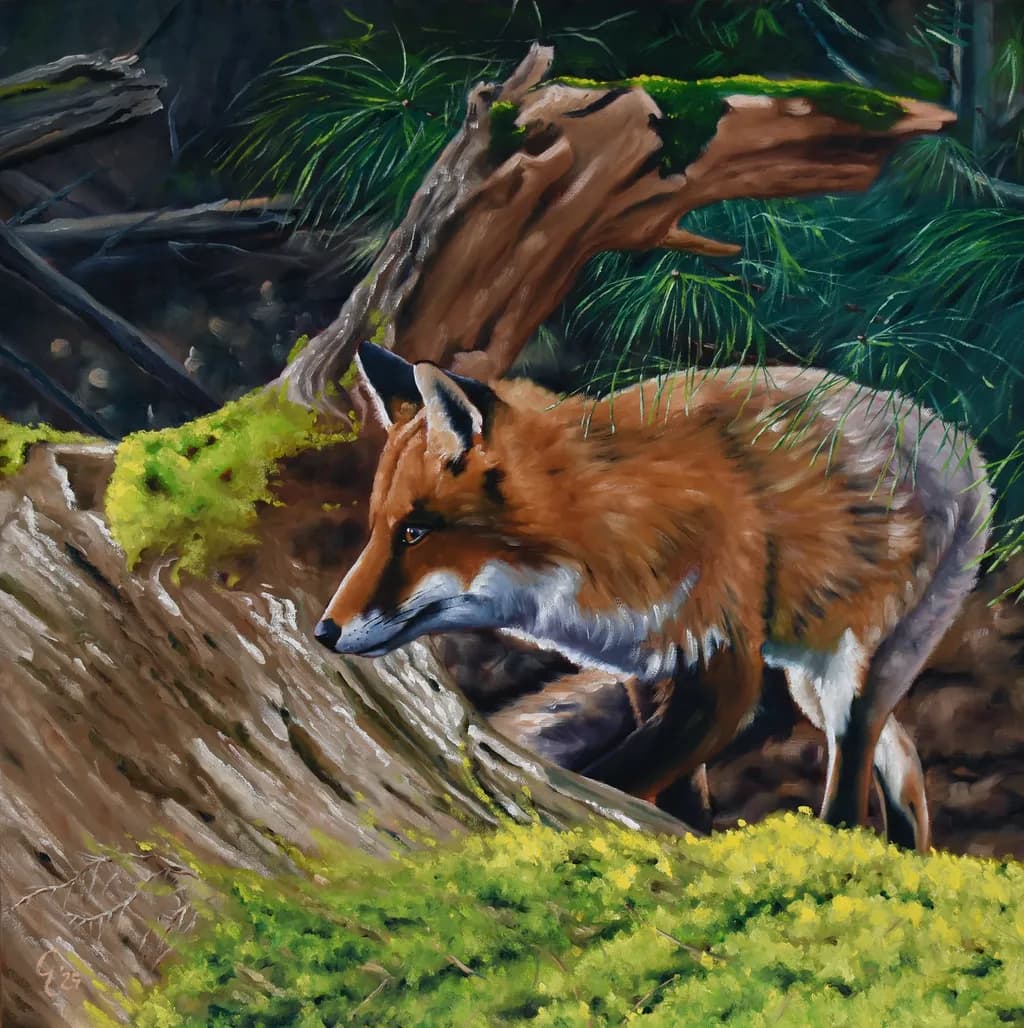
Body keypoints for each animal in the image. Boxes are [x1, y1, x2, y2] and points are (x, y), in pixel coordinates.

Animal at [315, 341, 992, 852]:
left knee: (854, 779)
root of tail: (955, 439)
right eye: (378, 528)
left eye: (413, 532)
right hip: (812, 671)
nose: (324, 631)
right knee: (903, 762)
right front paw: (687, 840)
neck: (605, 522)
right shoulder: (649, 663)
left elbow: (616, 780)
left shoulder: (725, 672)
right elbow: (674, 791)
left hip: (842, 672)